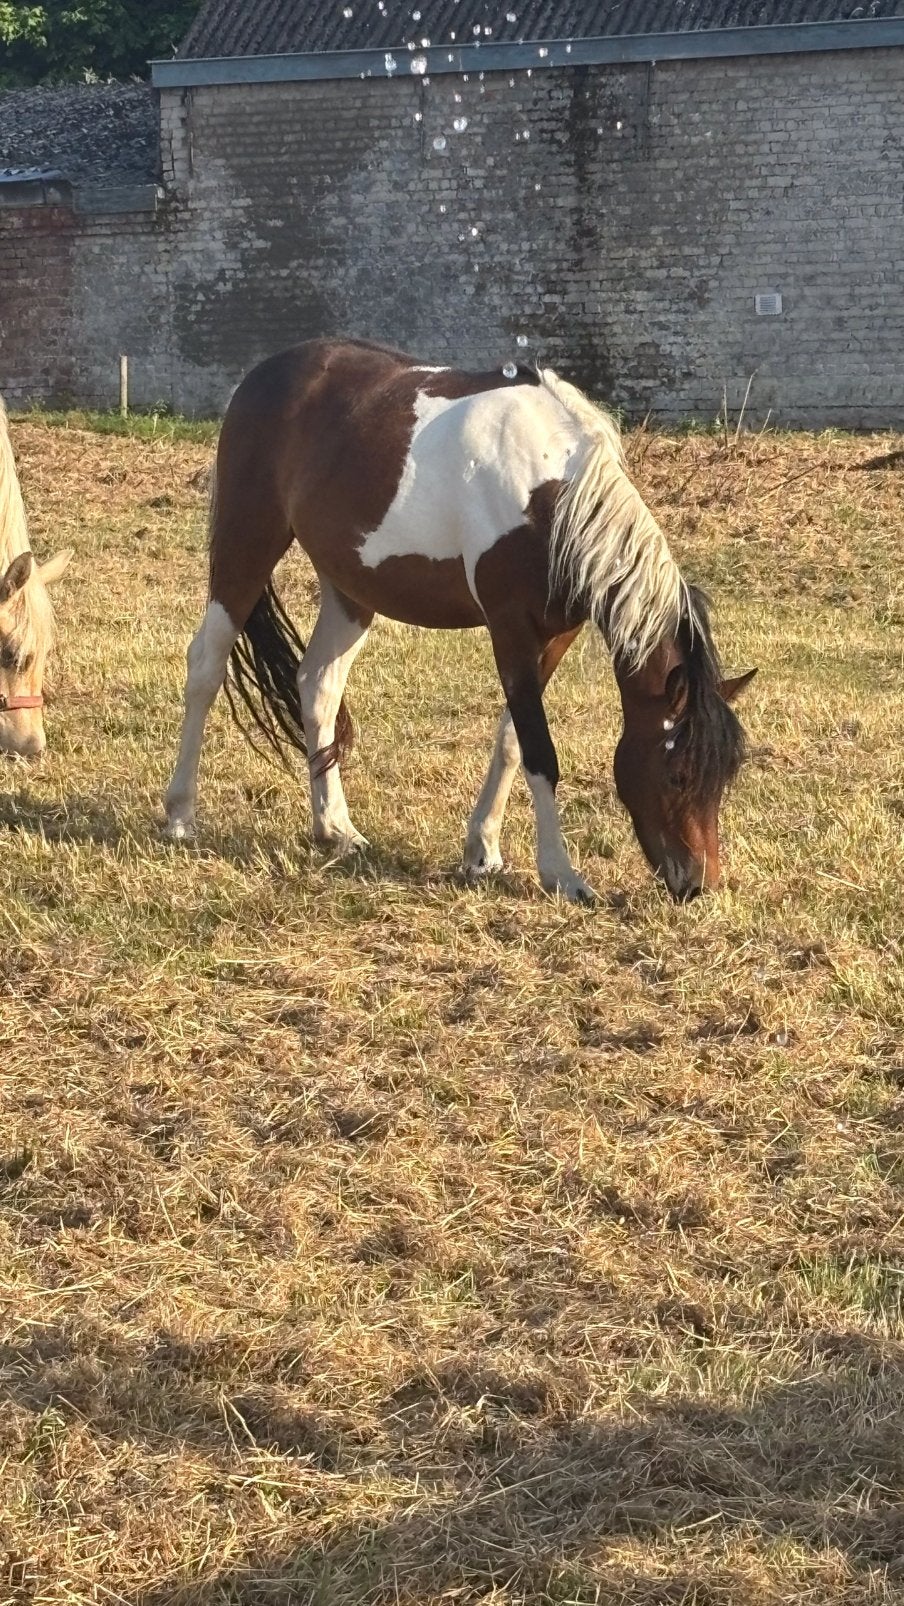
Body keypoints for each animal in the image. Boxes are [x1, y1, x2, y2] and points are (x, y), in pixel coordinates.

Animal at [164, 338, 756, 902]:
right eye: (678, 775)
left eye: (725, 776)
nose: (698, 884)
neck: (548, 495)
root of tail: (262, 374)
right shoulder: (510, 629)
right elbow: (540, 751)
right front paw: (561, 875)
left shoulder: (555, 636)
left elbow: (513, 739)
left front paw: (483, 851)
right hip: (246, 543)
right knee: (205, 667)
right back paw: (180, 816)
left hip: (350, 588)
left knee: (317, 687)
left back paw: (335, 830)